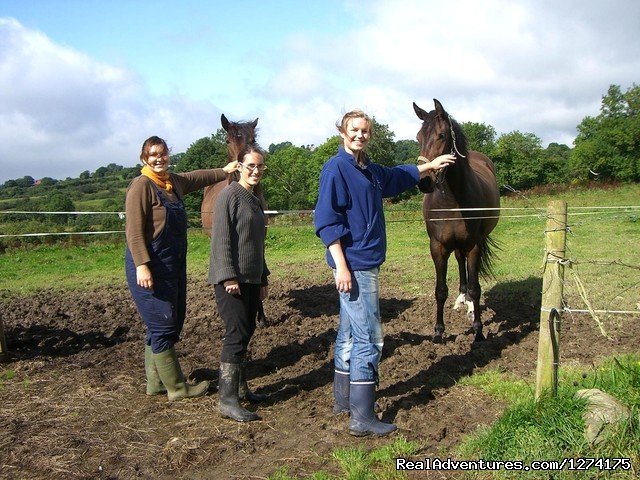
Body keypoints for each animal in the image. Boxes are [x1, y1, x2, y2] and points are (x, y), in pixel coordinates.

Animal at [416, 99, 500, 344]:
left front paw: (478, 330)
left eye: (442, 135)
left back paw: (470, 306)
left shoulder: (474, 246)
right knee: (460, 262)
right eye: (418, 137)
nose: (424, 181)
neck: (452, 201)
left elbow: (476, 288)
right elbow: (440, 290)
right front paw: (438, 332)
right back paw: (462, 300)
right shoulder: (438, 247)